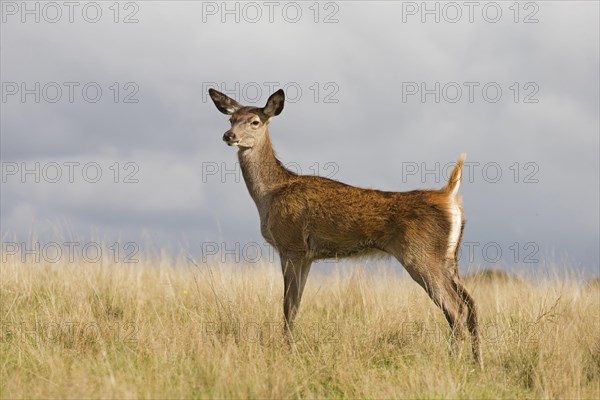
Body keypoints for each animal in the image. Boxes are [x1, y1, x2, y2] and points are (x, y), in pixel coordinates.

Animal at [210, 89, 482, 368]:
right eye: (231, 119)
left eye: (255, 121)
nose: (229, 136)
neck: (269, 194)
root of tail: (449, 195)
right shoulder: (307, 255)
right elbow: (296, 304)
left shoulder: (291, 245)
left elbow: (288, 306)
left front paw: (288, 352)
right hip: (449, 258)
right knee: (471, 305)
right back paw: (477, 363)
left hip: (420, 254)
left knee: (456, 309)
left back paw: (454, 361)